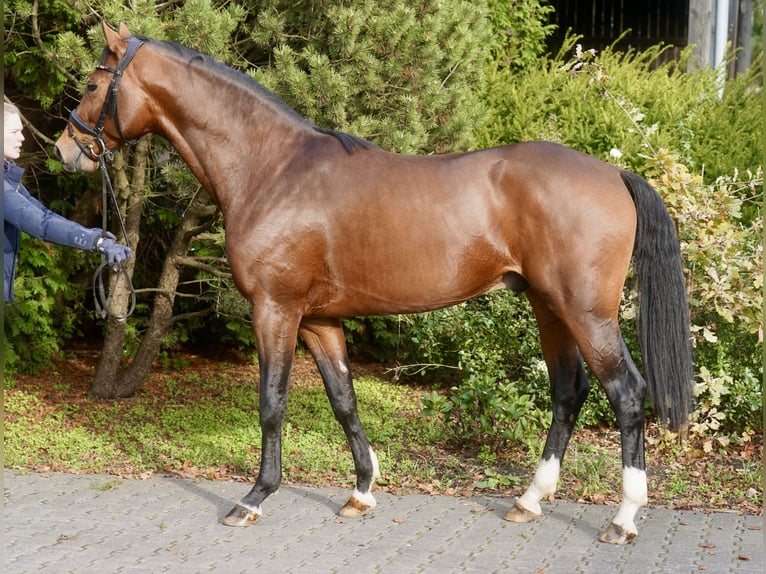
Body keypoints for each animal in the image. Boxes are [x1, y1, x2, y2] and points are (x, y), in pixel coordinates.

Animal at [51, 21, 692, 544]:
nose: (65, 150)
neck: (271, 168)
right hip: (549, 307)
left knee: (626, 394)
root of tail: (612, 172)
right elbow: (344, 400)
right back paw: (530, 500)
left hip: (585, 313)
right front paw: (361, 491)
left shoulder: (275, 310)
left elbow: (271, 403)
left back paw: (623, 518)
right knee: (569, 393)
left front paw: (255, 498)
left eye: (93, 83)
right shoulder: (318, 319)